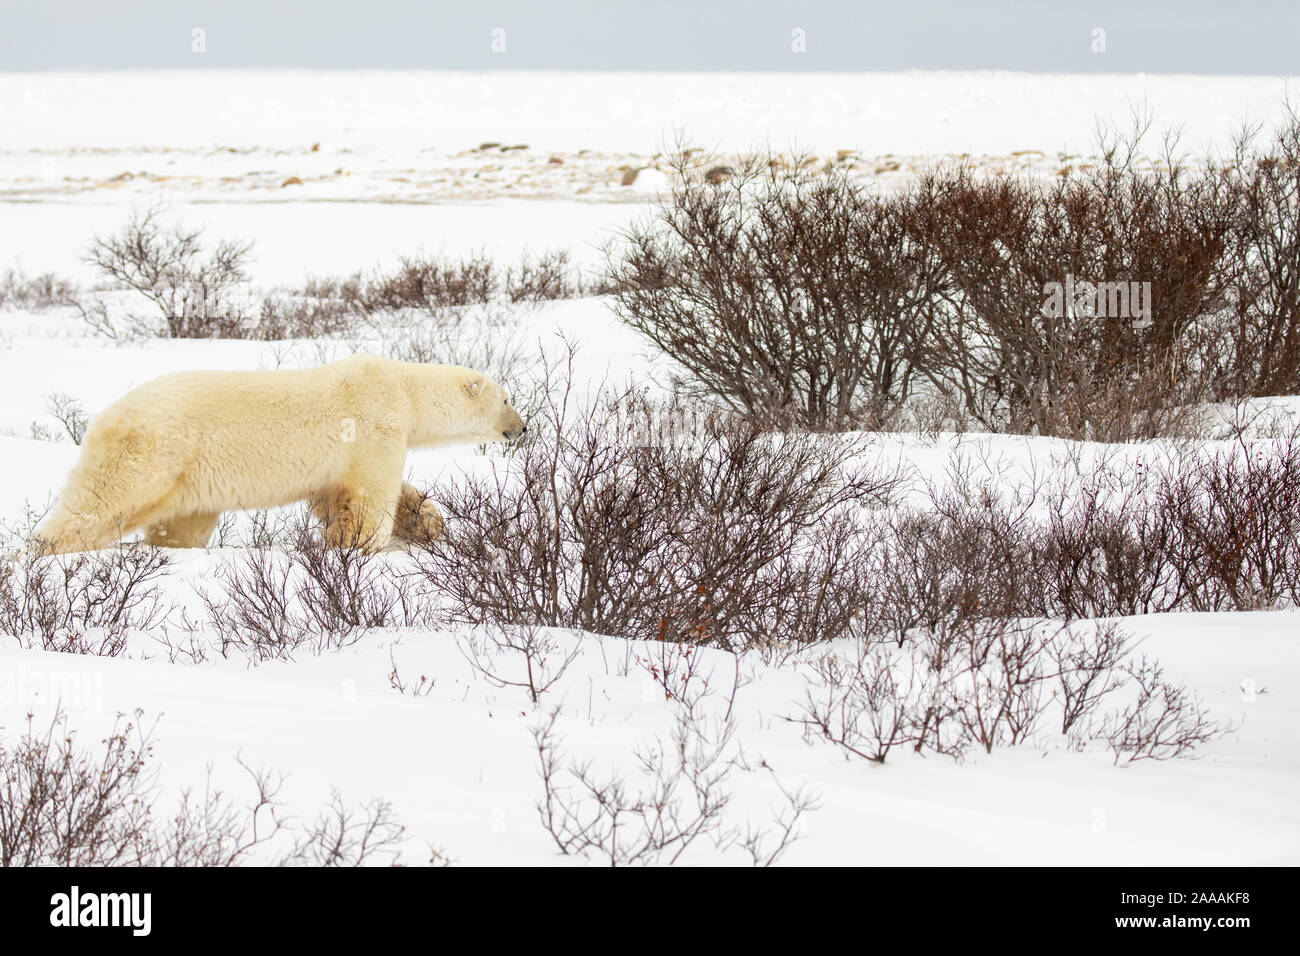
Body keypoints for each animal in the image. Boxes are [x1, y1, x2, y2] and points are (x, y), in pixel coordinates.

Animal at [27, 356, 522, 554]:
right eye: (506, 399)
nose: (523, 427)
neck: (402, 388)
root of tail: (105, 417)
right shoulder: (374, 426)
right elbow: (371, 496)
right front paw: (360, 546)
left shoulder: (340, 462)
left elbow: (338, 494)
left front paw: (429, 524)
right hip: (153, 453)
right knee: (98, 505)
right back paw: (37, 555)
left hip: (187, 481)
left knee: (182, 525)